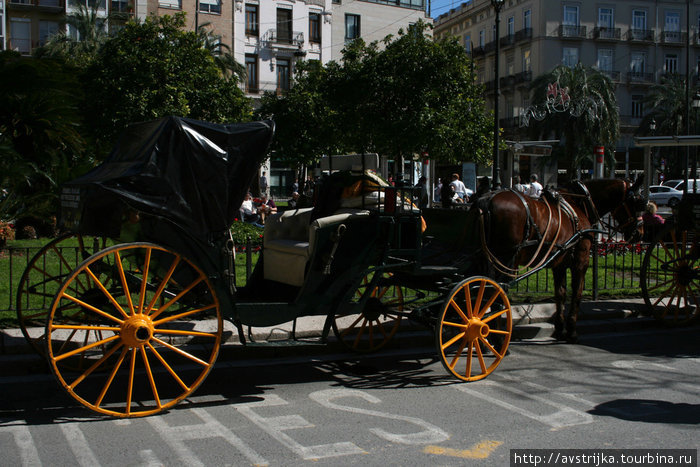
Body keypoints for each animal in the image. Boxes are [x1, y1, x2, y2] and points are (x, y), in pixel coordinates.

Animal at [476, 179, 644, 344]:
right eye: (637, 202)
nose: (640, 233)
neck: (579, 204)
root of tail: (487, 201)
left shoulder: (559, 264)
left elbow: (560, 294)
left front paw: (559, 329)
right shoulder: (581, 261)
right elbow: (576, 293)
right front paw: (571, 331)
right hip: (507, 260)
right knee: (496, 294)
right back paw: (497, 337)